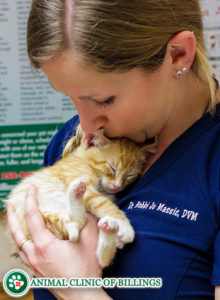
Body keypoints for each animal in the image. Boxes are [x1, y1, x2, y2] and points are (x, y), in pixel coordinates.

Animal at [5, 125, 156, 266]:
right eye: (112, 168)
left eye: (130, 175)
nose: (117, 186)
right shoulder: (84, 185)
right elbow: (103, 204)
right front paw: (125, 226)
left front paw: (120, 235)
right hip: (47, 212)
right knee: (76, 222)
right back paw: (77, 194)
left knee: (98, 254)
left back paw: (109, 230)